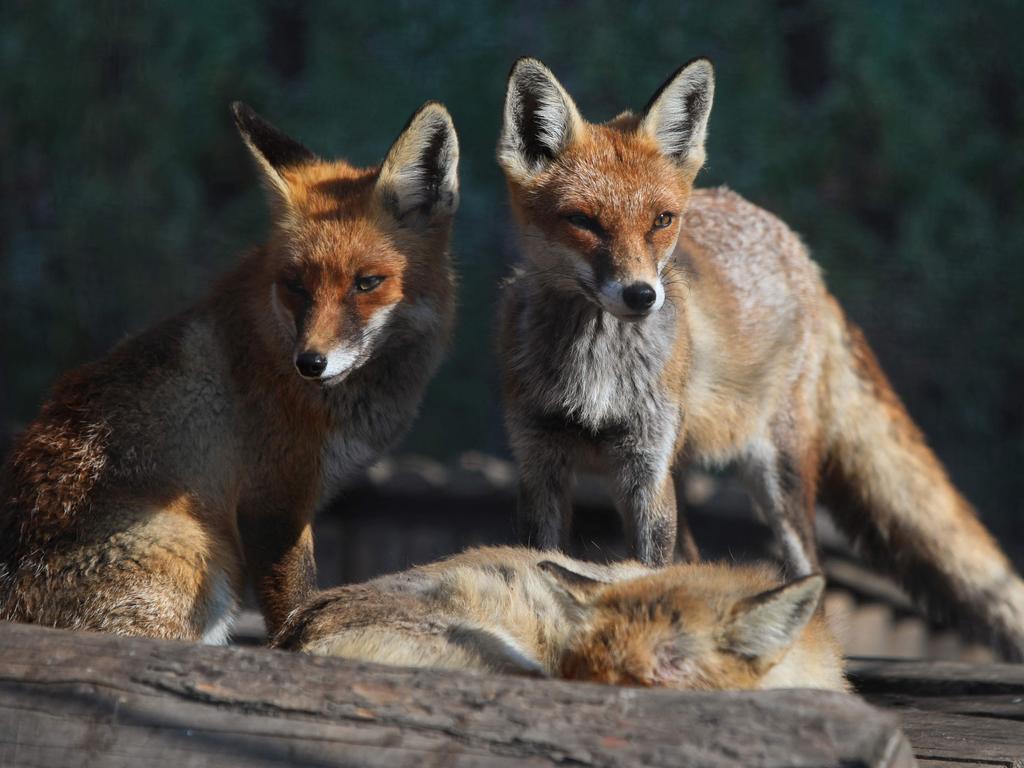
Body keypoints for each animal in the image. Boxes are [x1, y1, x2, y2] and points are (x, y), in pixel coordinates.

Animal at [0, 102, 458, 643]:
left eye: (367, 283)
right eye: (294, 285)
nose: (310, 363)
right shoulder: (270, 504)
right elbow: (294, 615)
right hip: (200, 555)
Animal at [495, 57, 1024, 663]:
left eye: (662, 220)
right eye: (583, 221)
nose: (642, 295)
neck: (594, 377)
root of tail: (801, 254)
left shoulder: (645, 469)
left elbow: (648, 575)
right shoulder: (541, 464)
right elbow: (537, 565)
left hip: (779, 475)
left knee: (812, 577)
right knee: (695, 557)